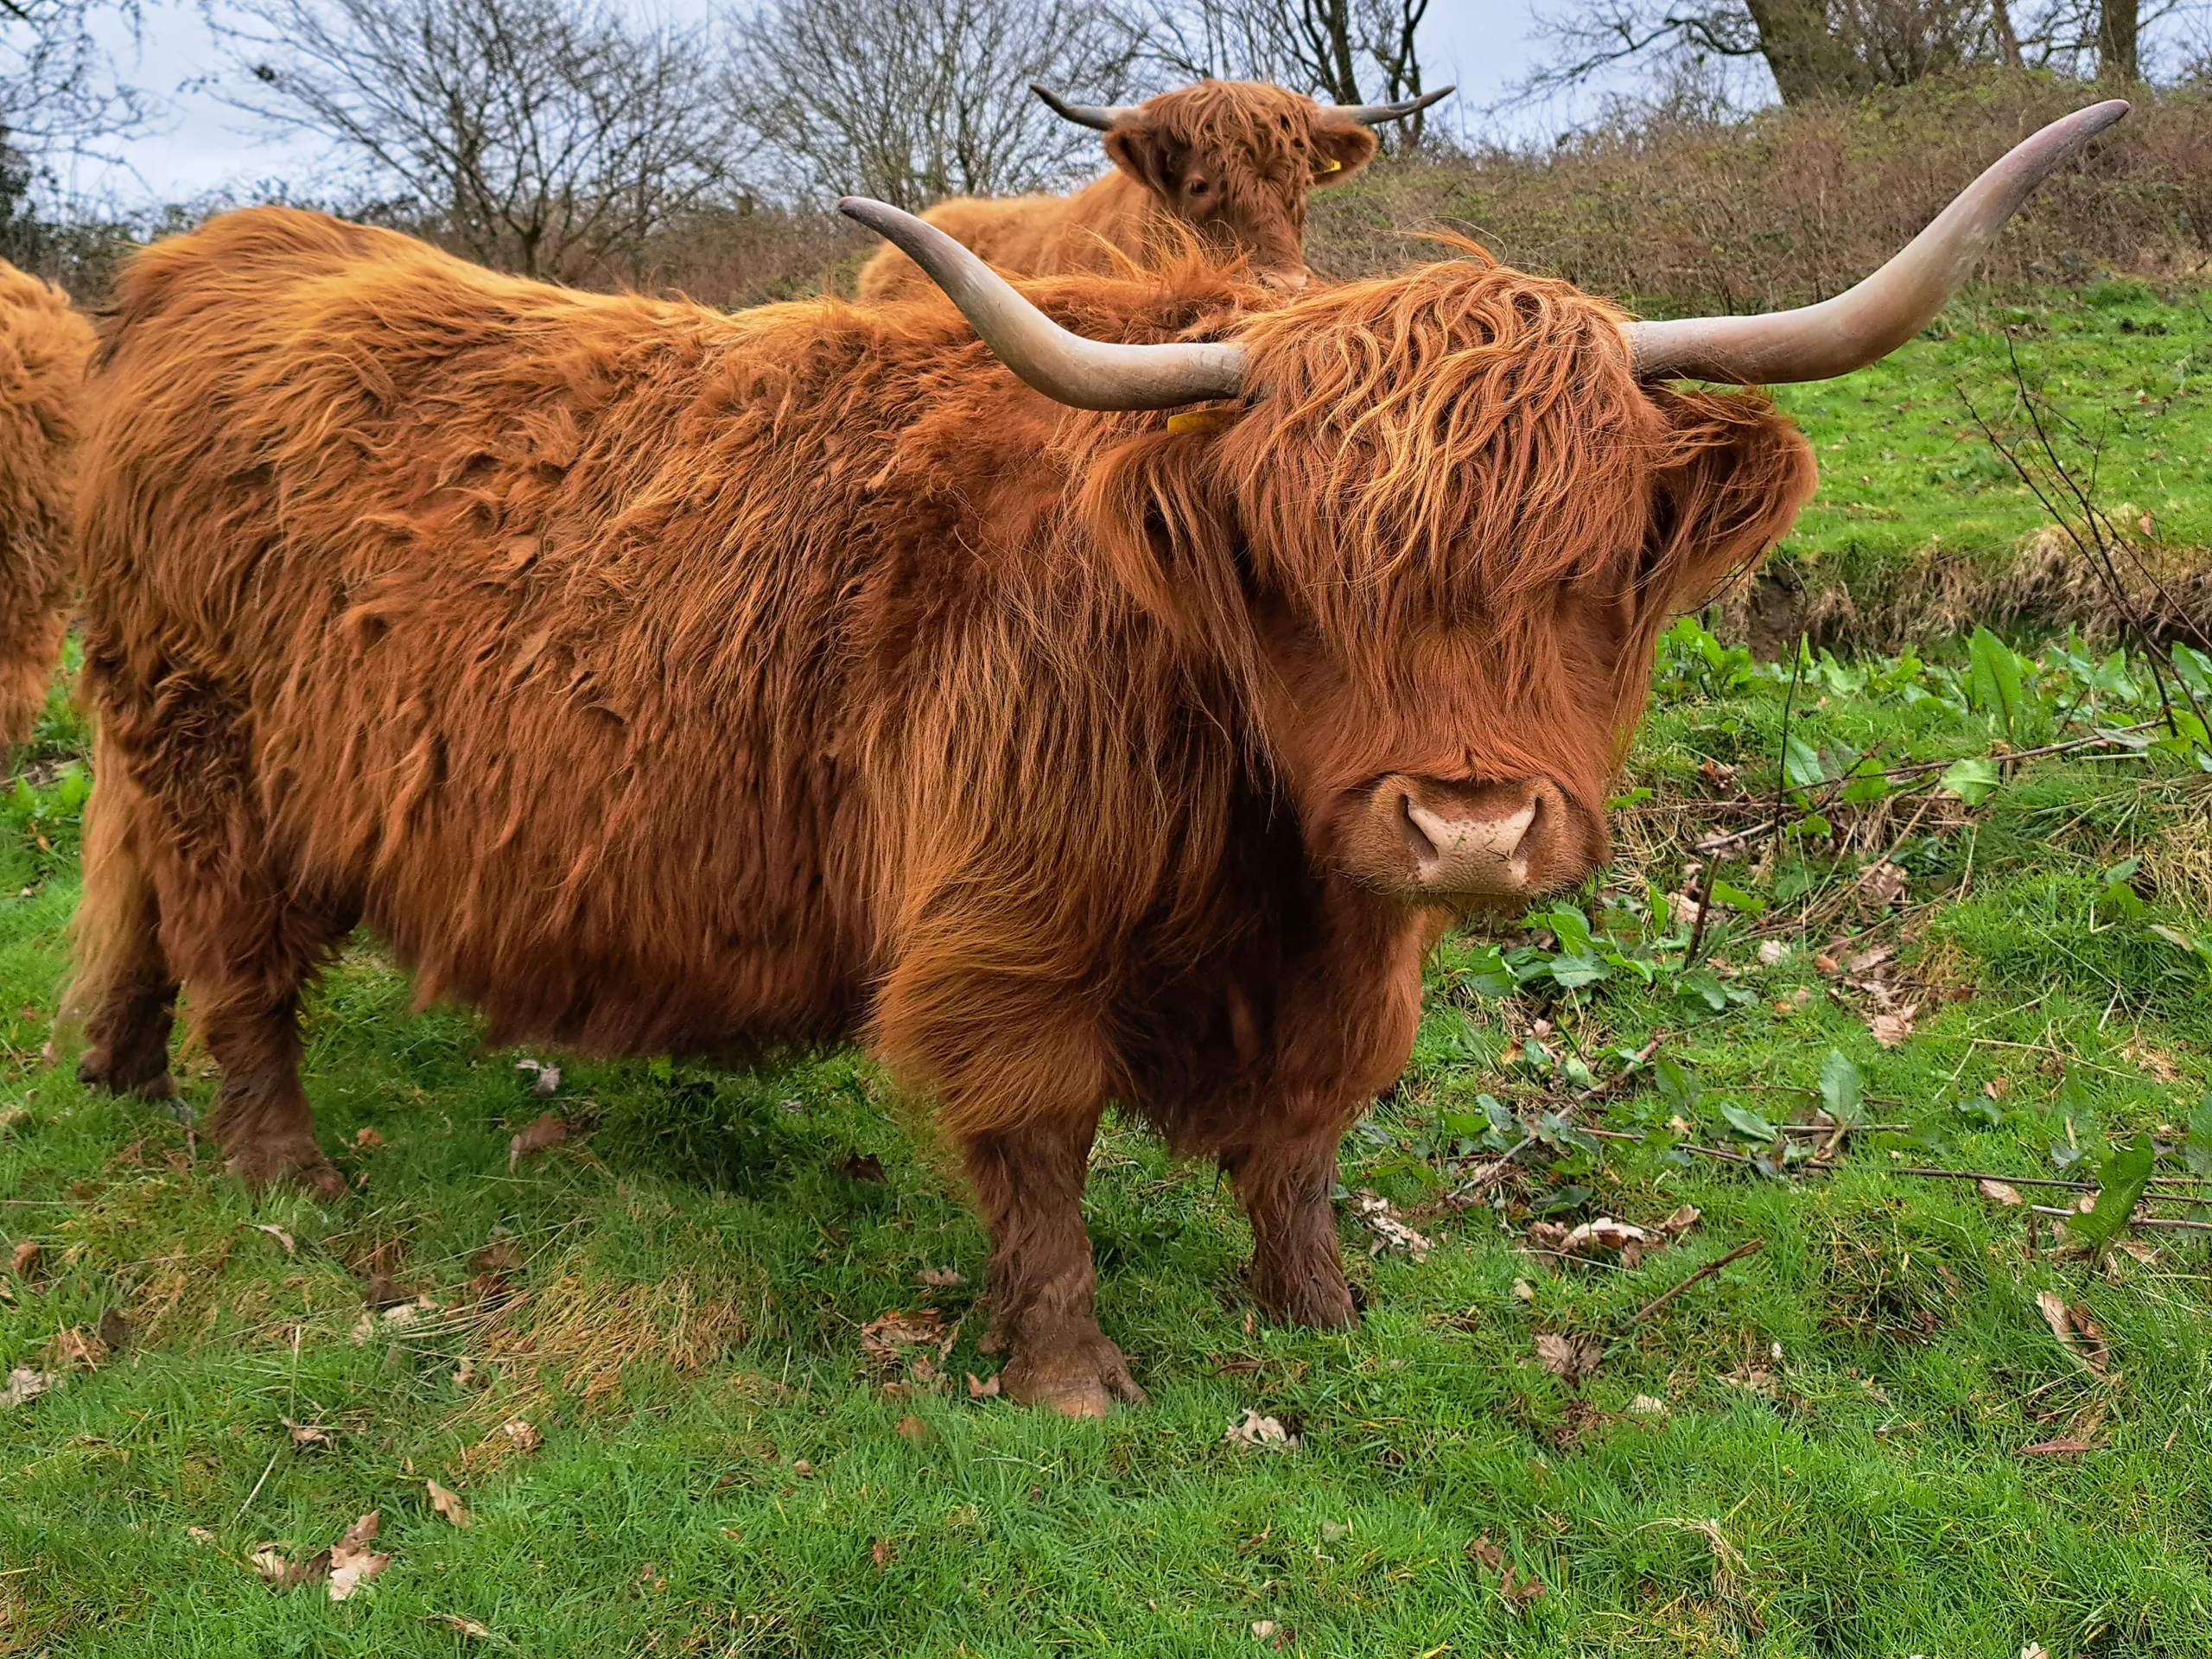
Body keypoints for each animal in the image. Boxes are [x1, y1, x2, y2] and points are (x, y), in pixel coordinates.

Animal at [53, 103, 2121, 1416]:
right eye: (1300, 566)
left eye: (1601, 559)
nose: (1464, 824)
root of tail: (205, 265)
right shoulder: (1008, 917)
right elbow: (1039, 1137)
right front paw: (1070, 1378)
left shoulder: (1336, 953)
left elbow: (1304, 1133)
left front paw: (1318, 1310)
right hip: (214, 755)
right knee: (241, 959)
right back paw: (284, 1175)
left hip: (159, 743)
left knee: (134, 893)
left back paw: (118, 1071)